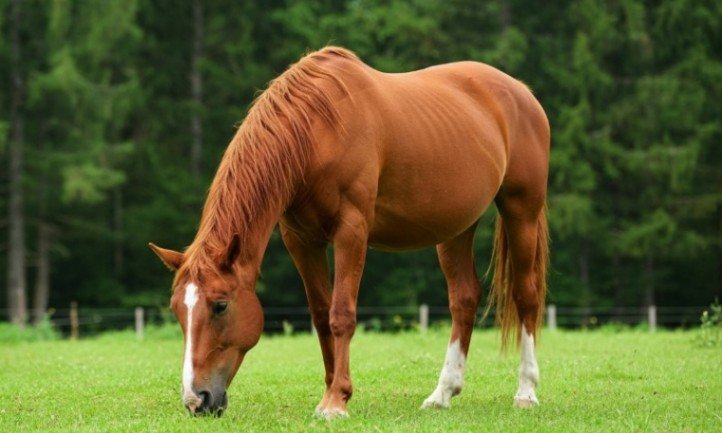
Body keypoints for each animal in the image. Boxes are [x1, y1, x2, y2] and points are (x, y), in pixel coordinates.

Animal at [149, 46, 550, 418]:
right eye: (177, 310)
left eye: (220, 305)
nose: (197, 400)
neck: (318, 132)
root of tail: (522, 92)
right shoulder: (302, 240)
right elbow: (321, 315)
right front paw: (332, 389)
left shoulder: (352, 231)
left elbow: (341, 313)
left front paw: (336, 401)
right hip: (456, 227)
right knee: (463, 299)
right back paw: (442, 393)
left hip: (521, 210)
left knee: (526, 295)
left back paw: (526, 392)